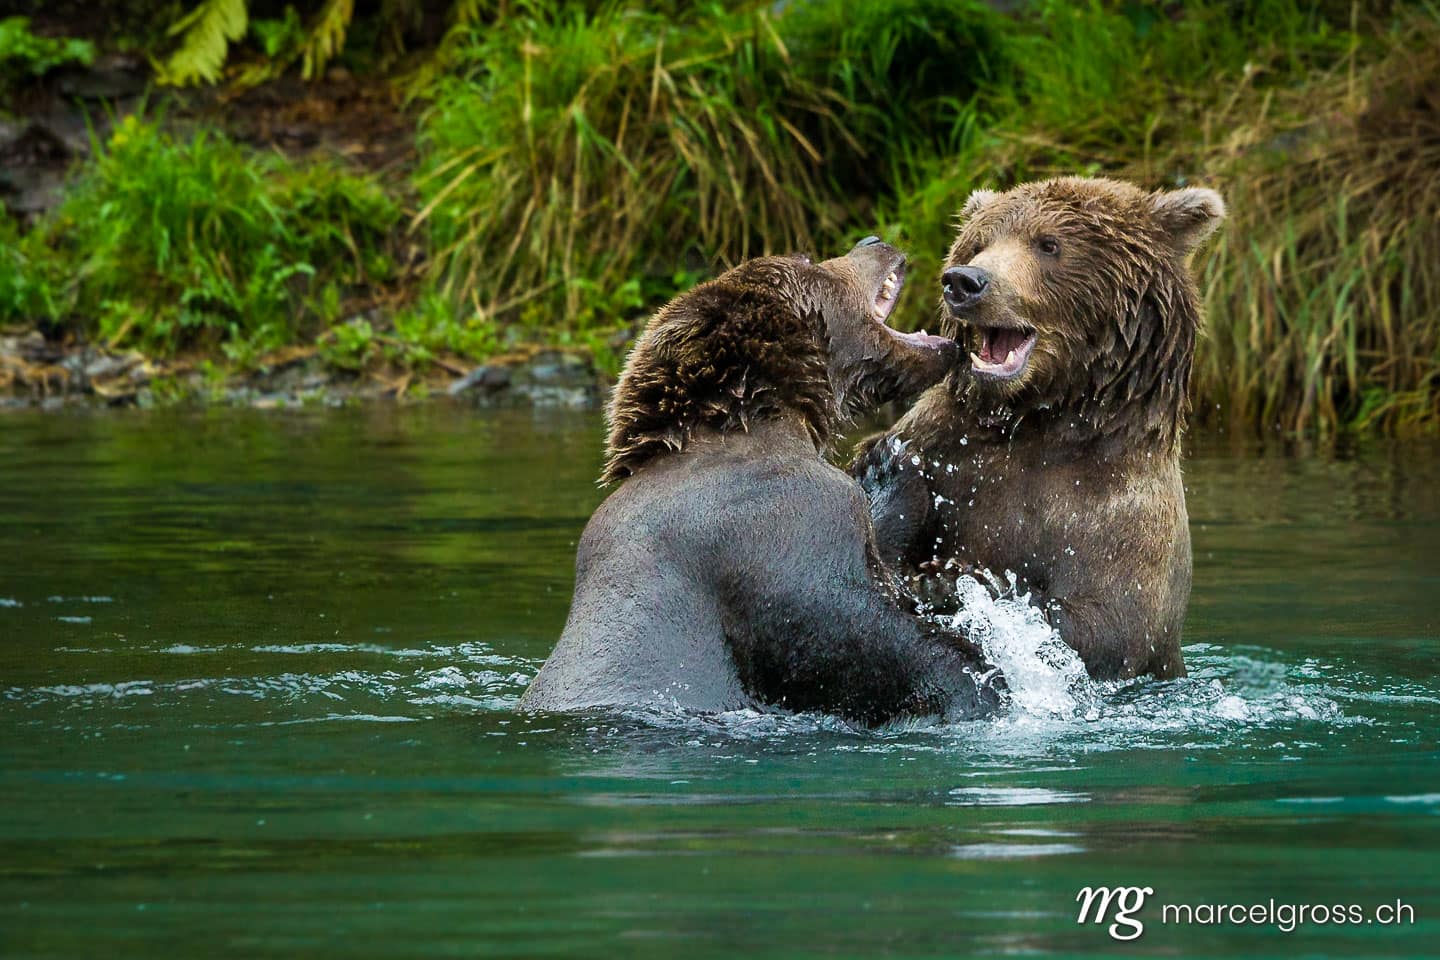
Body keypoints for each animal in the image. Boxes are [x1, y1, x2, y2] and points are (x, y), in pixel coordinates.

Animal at [519, 237, 1004, 725]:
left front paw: (887, 465)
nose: (873, 241)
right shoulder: (779, 522)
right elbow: (843, 627)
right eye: (807, 259)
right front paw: (979, 677)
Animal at [852, 177, 1225, 681]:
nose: (964, 281)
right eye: (980, 242)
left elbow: (1104, 623)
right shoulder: (945, 446)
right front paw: (886, 470)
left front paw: (952, 580)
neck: (1037, 419)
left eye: (1049, 244)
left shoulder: (1120, 516)